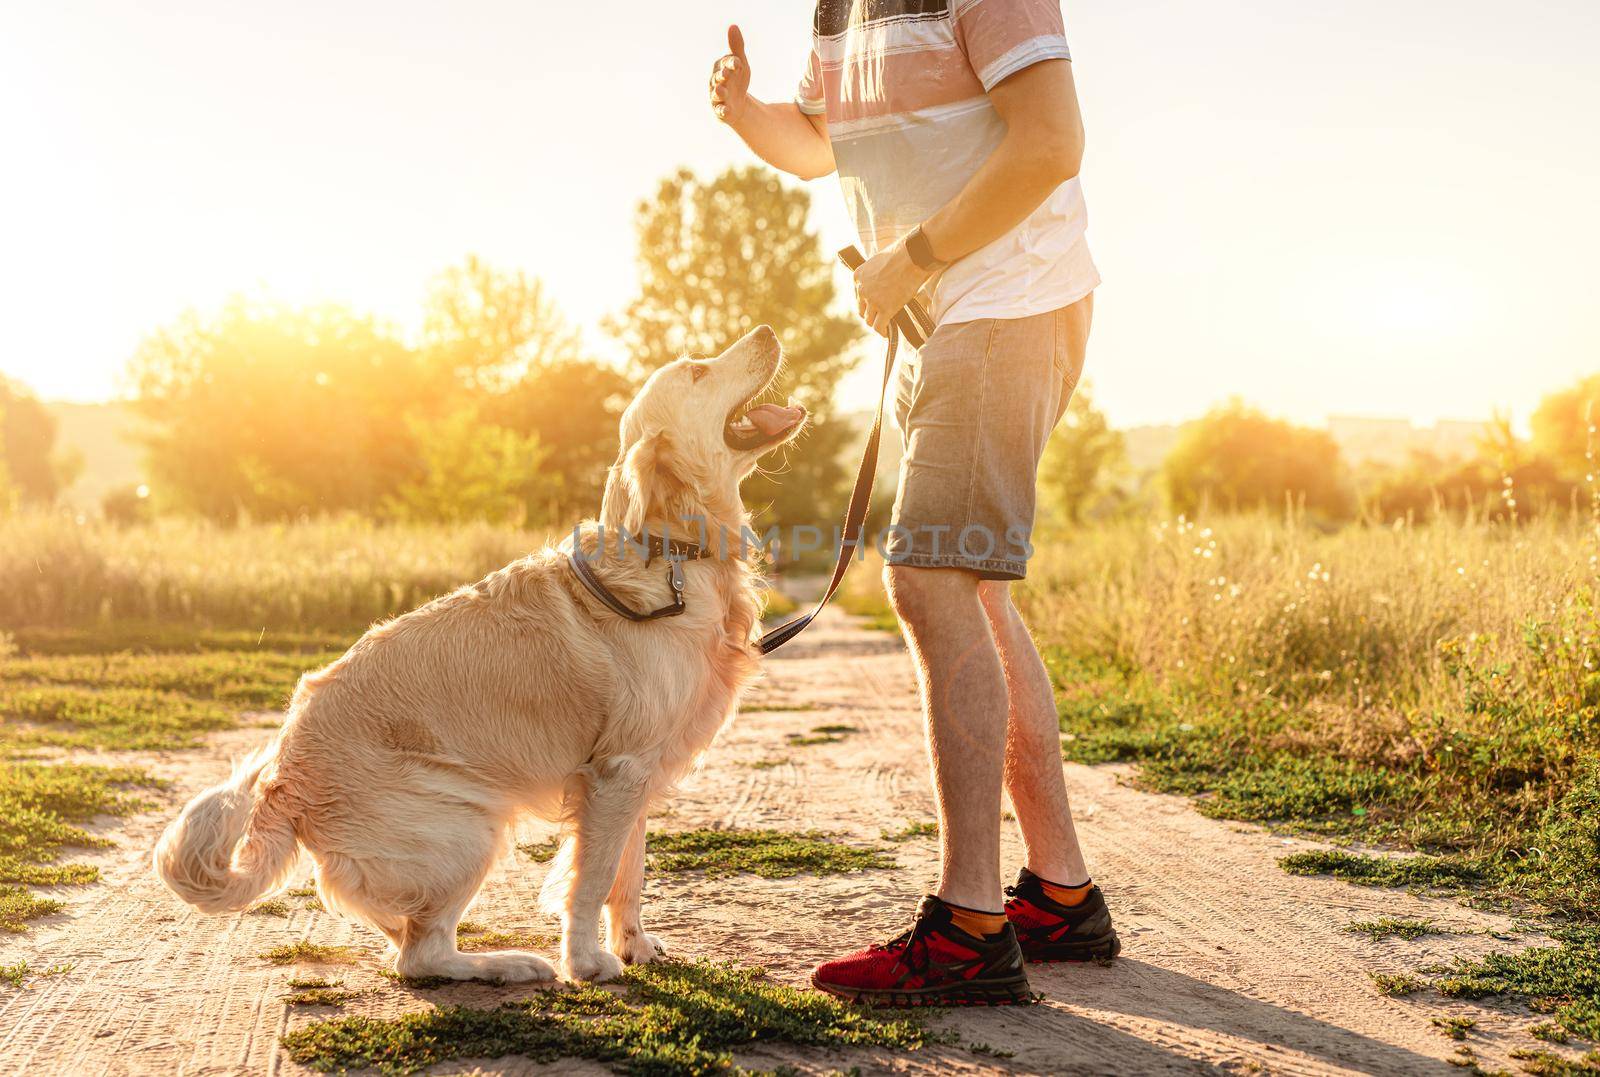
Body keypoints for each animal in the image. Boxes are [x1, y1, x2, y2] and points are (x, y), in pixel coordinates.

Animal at [151, 324, 806, 985]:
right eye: (697, 371)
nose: (767, 331)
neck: (676, 552)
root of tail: (286, 776)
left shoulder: (639, 774)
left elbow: (630, 873)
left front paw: (634, 944)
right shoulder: (616, 773)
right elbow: (593, 878)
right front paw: (586, 961)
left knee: (404, 940)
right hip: (468, 823)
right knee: (422, 954)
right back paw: (509, 964)